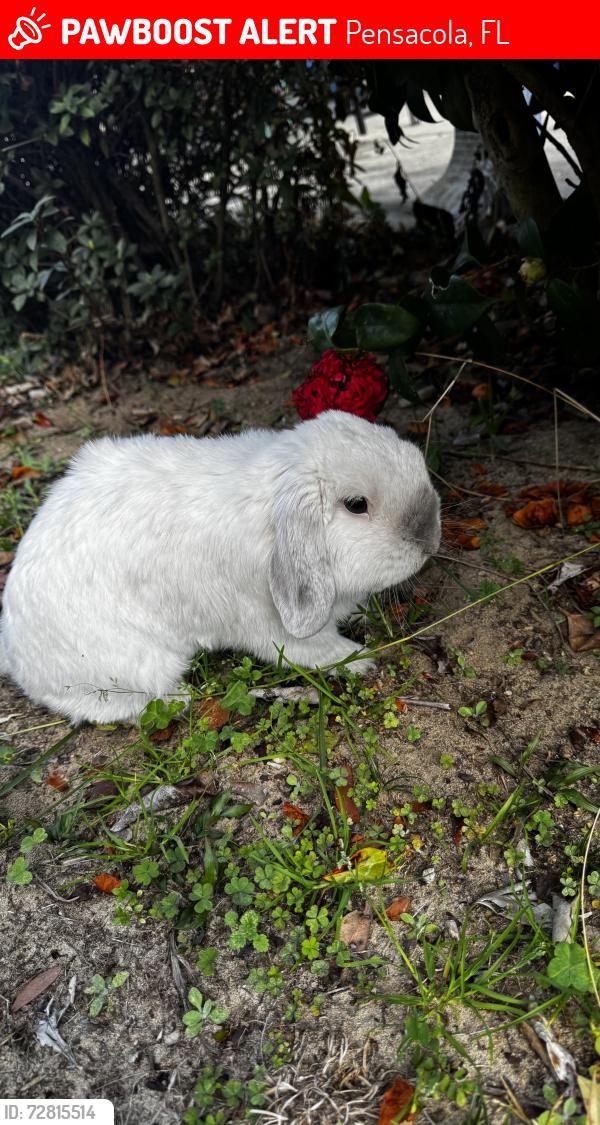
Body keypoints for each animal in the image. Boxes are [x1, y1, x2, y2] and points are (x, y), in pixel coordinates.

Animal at [0, 410, 440, 724]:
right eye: (356, 505)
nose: (429, 538)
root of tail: (17, 656)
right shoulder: (274, 626)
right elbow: (315, 650)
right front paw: (360, 659)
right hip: (130, 667)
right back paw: (177, 700)